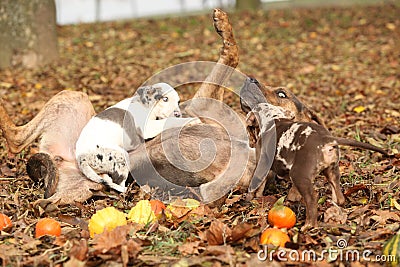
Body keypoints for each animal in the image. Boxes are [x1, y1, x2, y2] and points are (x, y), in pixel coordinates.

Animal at [247, 103, 388, 229]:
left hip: (299, 175)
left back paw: (309, 225)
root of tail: (325, 139)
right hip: (331, 172)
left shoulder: (262, 165)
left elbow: (257, 185)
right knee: (339, 197)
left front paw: (252, 197)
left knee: (312, 199)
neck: (273, 119)